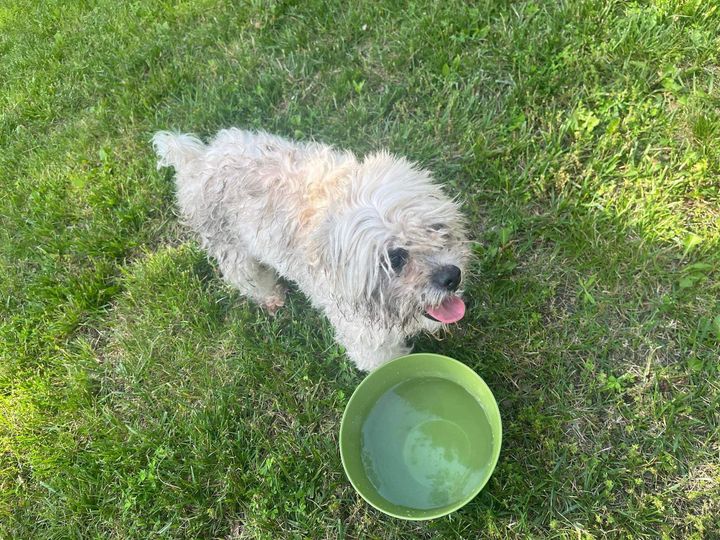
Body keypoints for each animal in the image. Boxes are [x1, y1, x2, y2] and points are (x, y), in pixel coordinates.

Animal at [152, 130, 470, 372]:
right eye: (395, 258)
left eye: (437, 228)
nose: (452, 276)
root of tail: (199, 159)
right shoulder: (363, 335)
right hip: (234, 253)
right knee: (247, 278)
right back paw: (270, 297)